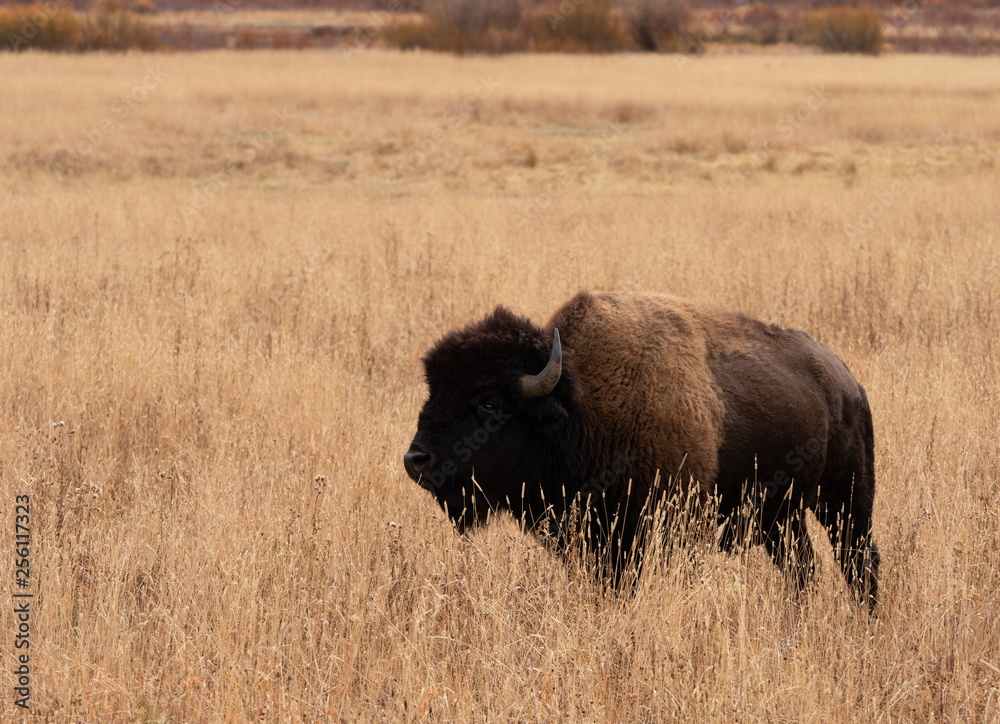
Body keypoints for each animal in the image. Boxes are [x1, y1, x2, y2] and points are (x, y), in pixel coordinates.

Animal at [402, 292, 880, 608]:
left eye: (489, 403)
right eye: (433, 391)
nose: (416, 460)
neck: (581, 406)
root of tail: (848, 381)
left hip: (846, 501)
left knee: (859, 562)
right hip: (781, 519)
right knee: (804, 568)